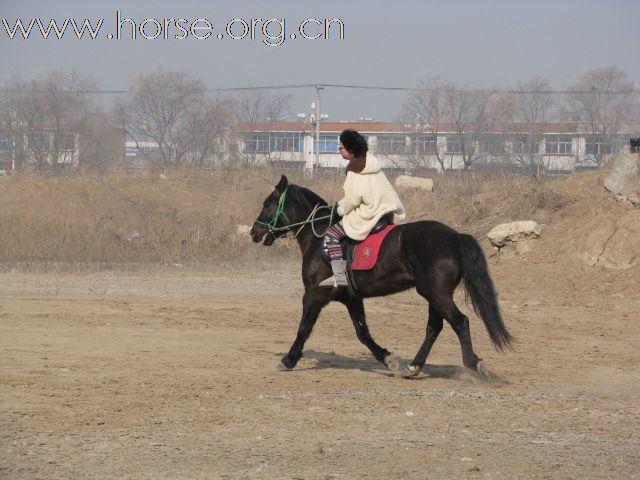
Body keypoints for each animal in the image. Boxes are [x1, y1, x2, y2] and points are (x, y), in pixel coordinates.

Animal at [248, 174, 512, 376]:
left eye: (268, 203)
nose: (254, 232)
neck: (318, 235)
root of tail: (455, 237)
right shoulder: (352, 299)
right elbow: (363, 333)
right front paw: (388, 359)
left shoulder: (314, 295)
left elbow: (304, 328)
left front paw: (288, 359)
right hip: (435, 294)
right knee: (434, 327)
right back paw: (414, 366)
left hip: (436, 294)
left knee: (460, 322)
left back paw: (473, 364)